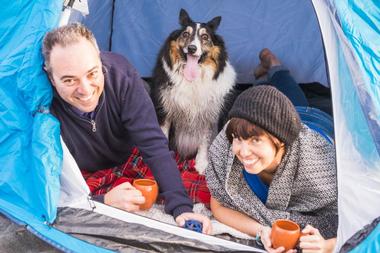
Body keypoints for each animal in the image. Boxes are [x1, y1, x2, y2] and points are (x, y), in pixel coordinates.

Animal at [151, 8, 235, 174]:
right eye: (185, 34)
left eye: (205, 37)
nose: (192, 48)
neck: (192, 80)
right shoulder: (165, 108)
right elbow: (162, 134)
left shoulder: (209, 114)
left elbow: (204, 140)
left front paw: (201, 163)